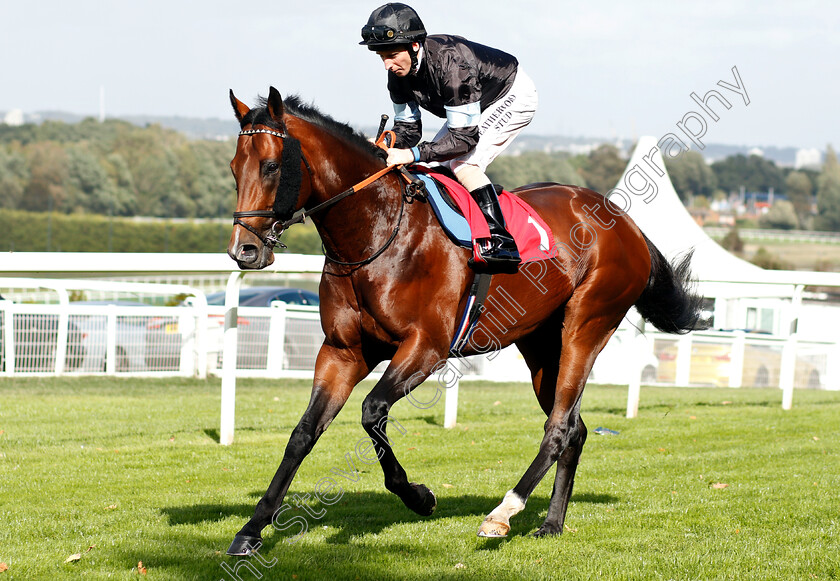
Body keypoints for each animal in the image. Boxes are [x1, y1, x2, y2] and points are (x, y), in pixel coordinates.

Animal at [226, 86, 704, 552]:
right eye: (233, 168)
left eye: (271, 166)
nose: (243, 251)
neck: (376, 233)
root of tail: (628, 225)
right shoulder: (342, 351)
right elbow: (303, 434)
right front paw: (251, 529)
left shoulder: (426, 347)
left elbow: (372, 411)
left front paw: (419, 496)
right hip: (540, 345)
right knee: (576, 429)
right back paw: (551, 523)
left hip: (587, 326)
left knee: (559, 426)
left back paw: (502, 513)